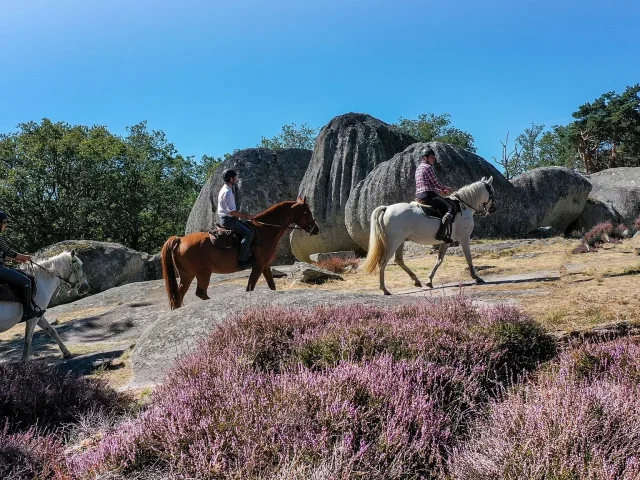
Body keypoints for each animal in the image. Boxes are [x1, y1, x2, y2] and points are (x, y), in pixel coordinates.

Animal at [161, 197, 319, 309]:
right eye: (307, 212)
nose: (316, 229)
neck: (265, 230)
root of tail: (180, 240)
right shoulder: (258, 266)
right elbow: (250, 287)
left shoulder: (266, 266)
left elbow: (272, 286)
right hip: (203, 273)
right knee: (200, 293)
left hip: (187, 275)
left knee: (179, 296)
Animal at [360, 177, 497, 295]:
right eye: (492, 192)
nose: (493, 209)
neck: (464, 207)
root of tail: (387, 208)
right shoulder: (464, 238)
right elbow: (469, 258)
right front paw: (476, 278)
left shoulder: (446, 241)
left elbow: (439, 260)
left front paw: (429, 281)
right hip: (394, 242)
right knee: (383, 262)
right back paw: (384, 289)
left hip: (400, 241)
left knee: (398, 260)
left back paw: (416, 281)